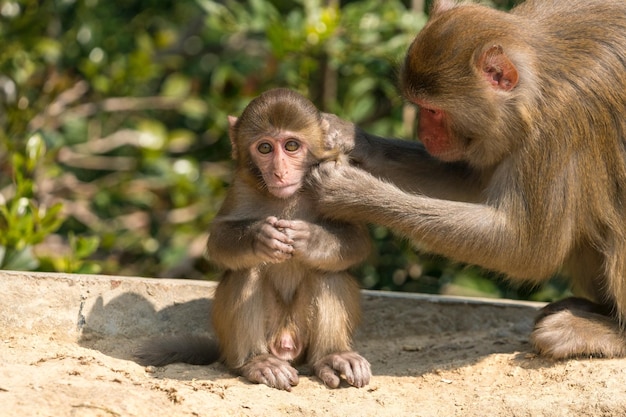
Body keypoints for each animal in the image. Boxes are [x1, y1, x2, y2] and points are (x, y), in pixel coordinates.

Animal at [137, 88, 370, 390]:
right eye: (265, 148)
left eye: (291, 146)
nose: (279, 172)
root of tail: (286, 343)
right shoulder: (241, 186)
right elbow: (218, 240)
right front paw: (261, 237)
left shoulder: (336, 179)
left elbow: (357, 241)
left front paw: (310, 240)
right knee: (247, 270)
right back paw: (257, 362)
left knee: (328, 270)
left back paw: (332, 357)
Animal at [310, 0, 626, 358]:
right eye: (418, 107)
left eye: (433, 111)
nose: (424, 134)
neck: (538, 81)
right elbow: (473, 183)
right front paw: (350, 137)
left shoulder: (557, 127)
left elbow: (527, 248)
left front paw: (351, 192)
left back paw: (606, 331)